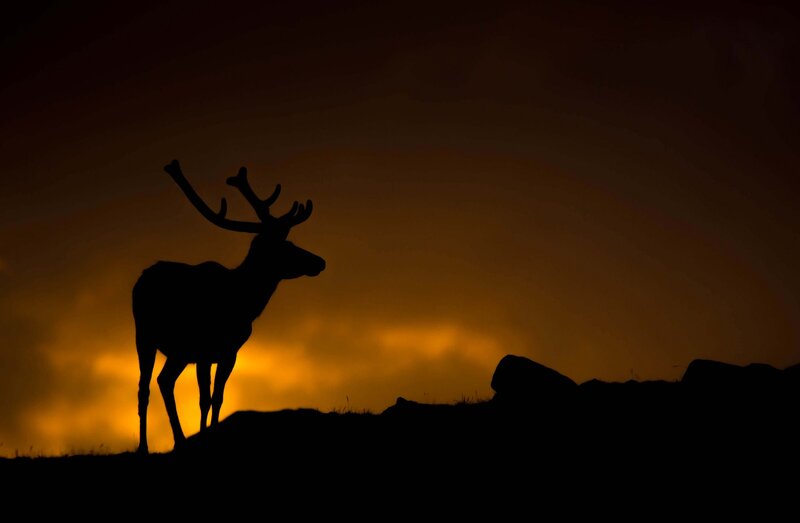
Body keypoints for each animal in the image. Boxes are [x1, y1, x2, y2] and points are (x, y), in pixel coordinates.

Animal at [132, 159, 326, 453]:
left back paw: (179, 439)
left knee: (165, 381)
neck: (242, 303)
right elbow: (203, 398)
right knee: (144, 387)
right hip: (145, 335)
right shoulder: (203, 349)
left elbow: (218, 397)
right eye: (286, 245)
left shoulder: (230, 352)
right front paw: (203, 436)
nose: (319, 261)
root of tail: (141, 279)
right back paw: (144, 446)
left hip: (179, 353)